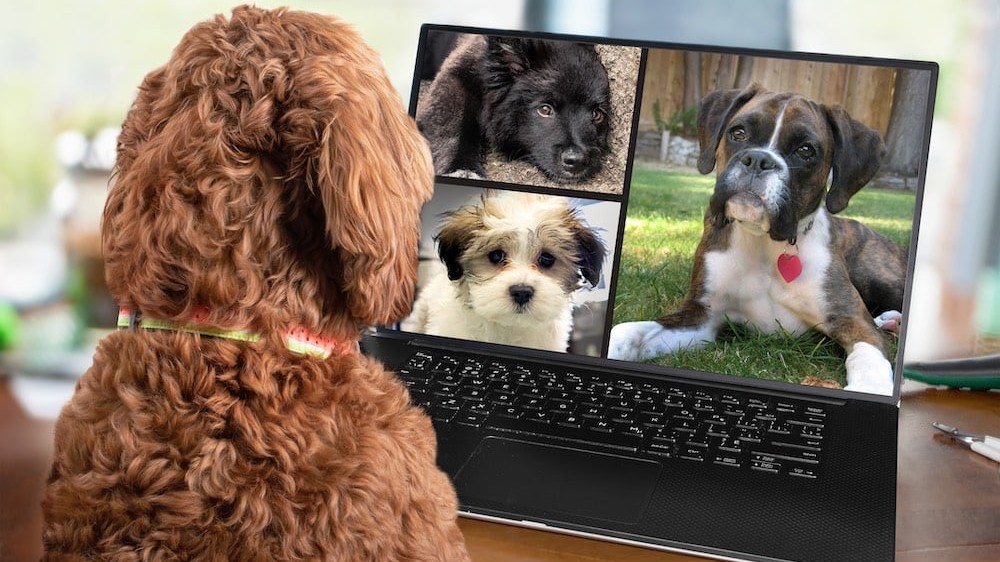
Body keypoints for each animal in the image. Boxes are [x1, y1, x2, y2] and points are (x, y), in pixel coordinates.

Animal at [414, 34, 608, 183]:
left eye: (597, 115)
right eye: (545, 110)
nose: (577, 162)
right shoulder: (457, 73)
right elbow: (455, 123)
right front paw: (462, 168)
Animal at [608, 83, 908, 394]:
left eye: (805, 150)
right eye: (738, 133)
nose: (759, 160)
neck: (767, 244)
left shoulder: (852, 321)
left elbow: (868, 355)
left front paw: (870, 387)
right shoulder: (701, 317)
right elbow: (630, 332)